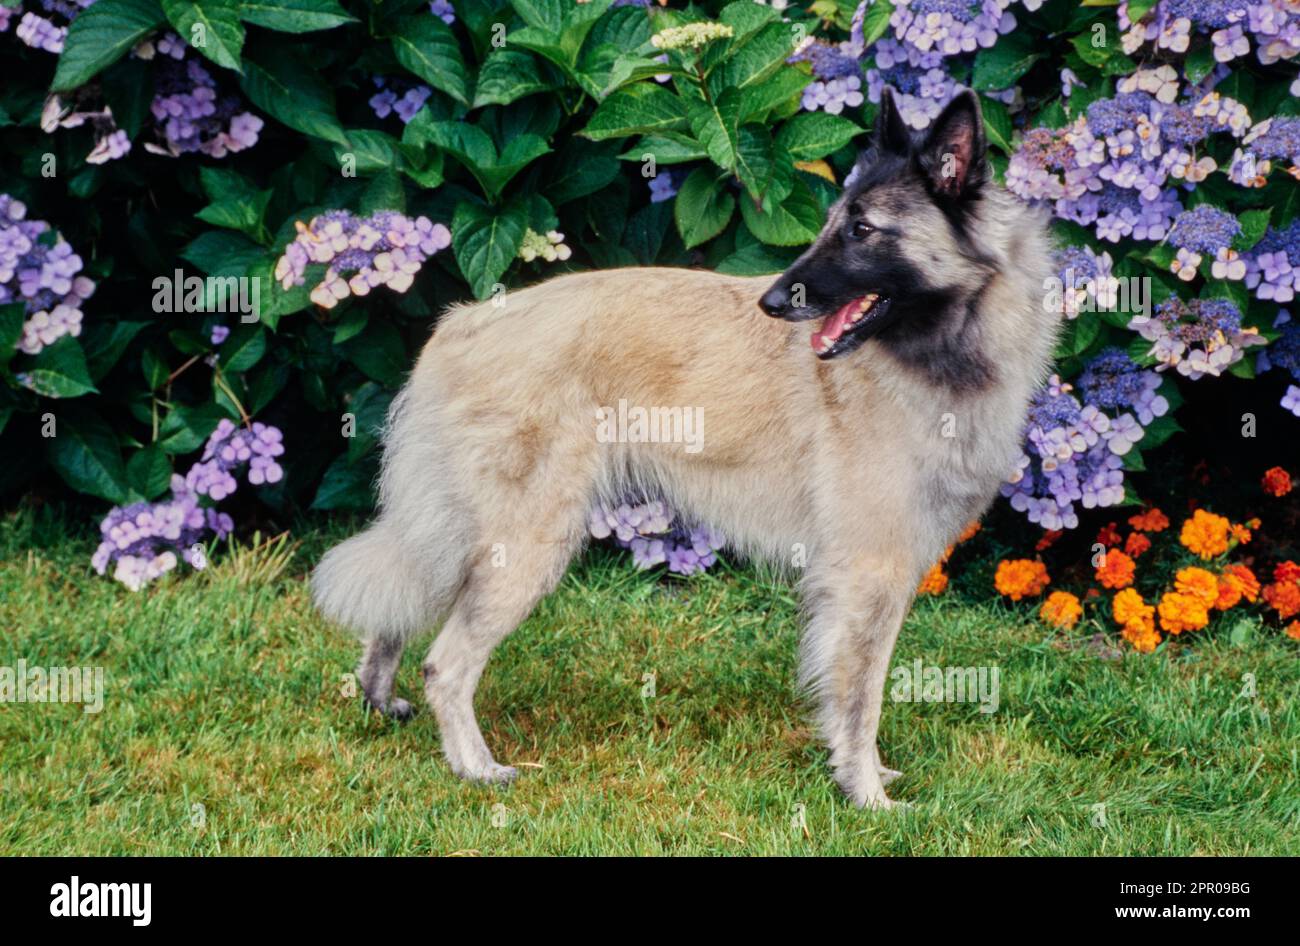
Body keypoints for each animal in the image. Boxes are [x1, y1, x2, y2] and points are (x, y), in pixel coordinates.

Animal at [312, 88, 1055, 805]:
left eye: (862, 230)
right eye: (833, 225)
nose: (773, 302)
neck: (943, 348)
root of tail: (461, 322)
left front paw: (868, 777)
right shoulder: (869, 576)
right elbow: (860, 699)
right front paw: (866, 797)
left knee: (398, 612)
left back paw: (380, 700)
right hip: (525, 549)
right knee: (446, 664)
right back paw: (476, 769)